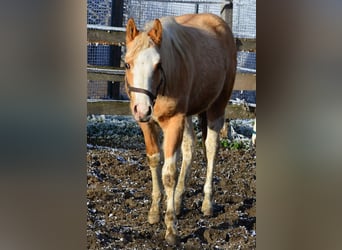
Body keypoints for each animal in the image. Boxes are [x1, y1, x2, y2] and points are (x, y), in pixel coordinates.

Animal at [124, 13, 236, 244]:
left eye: (158, 65)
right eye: (128, 64)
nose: (142, 108)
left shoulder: (174, 121)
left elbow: (169, 174)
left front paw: (171, 230)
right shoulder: (146, 123)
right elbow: (154, 160)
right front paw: (154, 211)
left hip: (216, 107)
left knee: (211, 148)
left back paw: (207, 203)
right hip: (188, 114)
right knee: (189, 147)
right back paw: (178, 201)